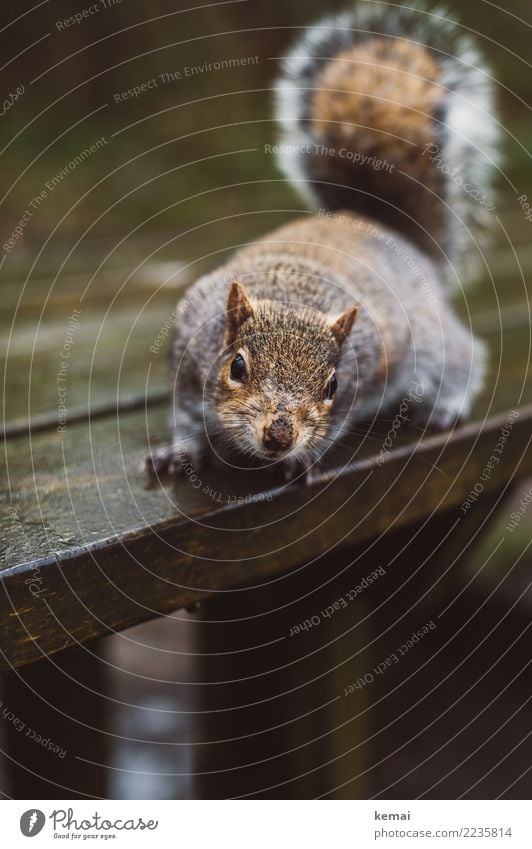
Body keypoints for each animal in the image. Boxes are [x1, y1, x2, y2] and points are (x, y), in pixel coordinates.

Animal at [145, 1, 498, 484]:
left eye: (332, 385)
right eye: (236, 367)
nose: (279, 438)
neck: (292, 298)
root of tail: (377, 226)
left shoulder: (369, 369)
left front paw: (303, 459)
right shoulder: (188, 354)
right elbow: (183, 414)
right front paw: (178, 450)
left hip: (430, 339)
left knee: (464, 357)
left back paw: (447, 406)